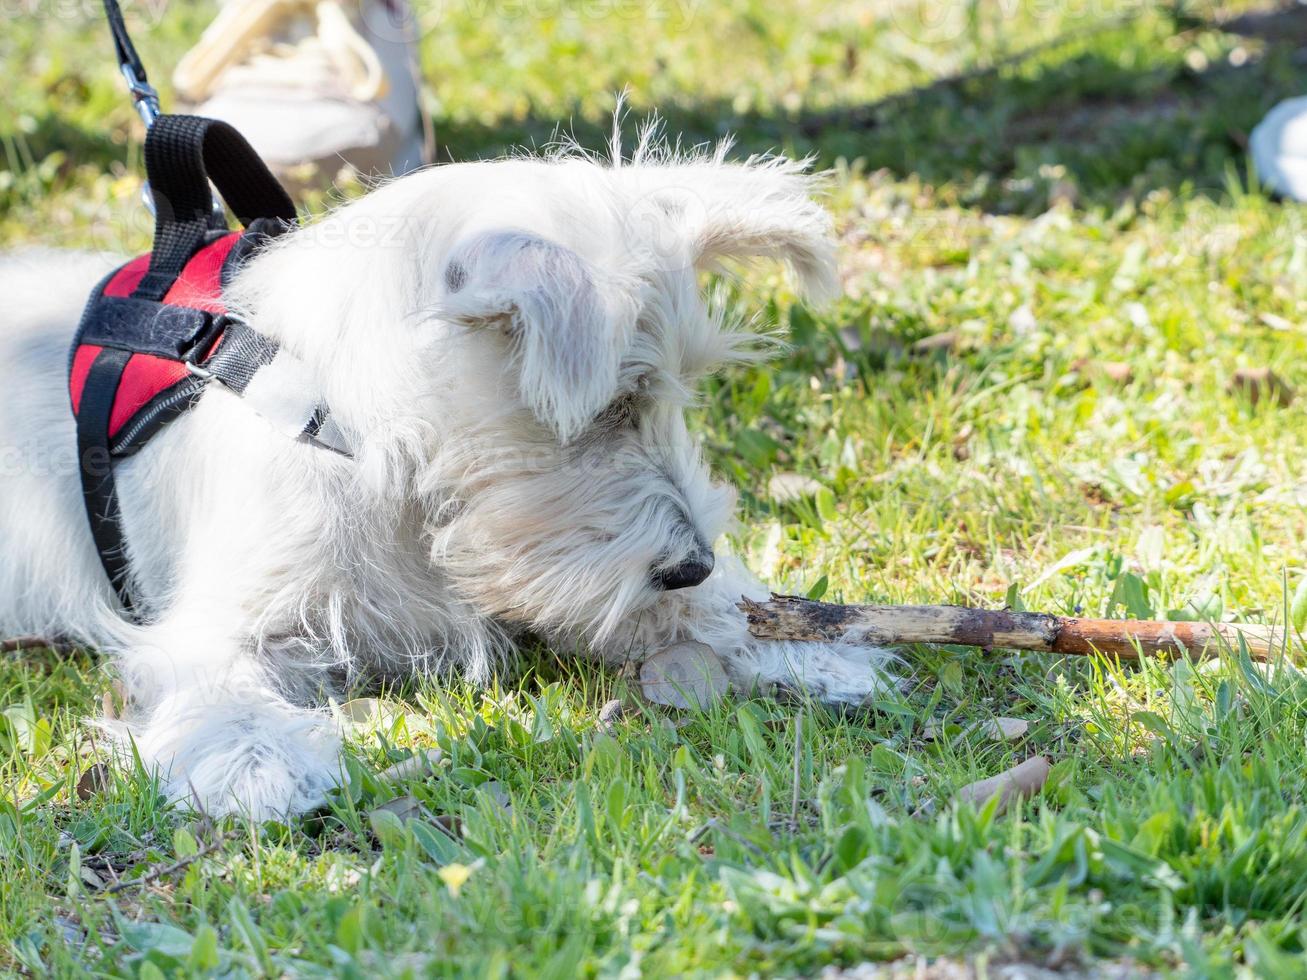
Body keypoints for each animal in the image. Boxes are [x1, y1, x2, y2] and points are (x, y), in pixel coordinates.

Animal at [0, 132, 893, 820]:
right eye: (612, 406)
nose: (694, 563)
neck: (359, 443)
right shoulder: (217, 619)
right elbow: (216, 677)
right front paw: (257, 760)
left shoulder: (565, 567)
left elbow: (668, 608)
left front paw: (798, 642)